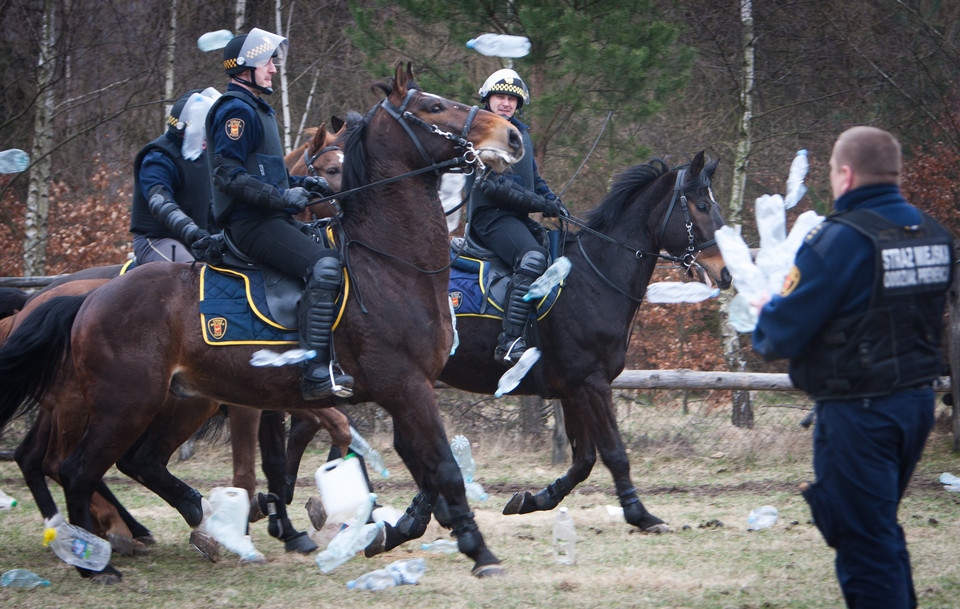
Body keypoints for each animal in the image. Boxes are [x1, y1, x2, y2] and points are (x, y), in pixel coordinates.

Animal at [0, 64, 520, 580]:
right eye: (433, 107)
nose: (511, 136)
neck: (390, 264)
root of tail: (87, 298)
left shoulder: (392, 393)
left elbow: (415, 467)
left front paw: (391, 529)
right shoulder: (402, 387)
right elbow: (440, 467)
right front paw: (479, 552)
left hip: (164, 402)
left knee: (107, 463)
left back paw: (163, 524)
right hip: (124, 405)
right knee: (75, 469)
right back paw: (98, 556)